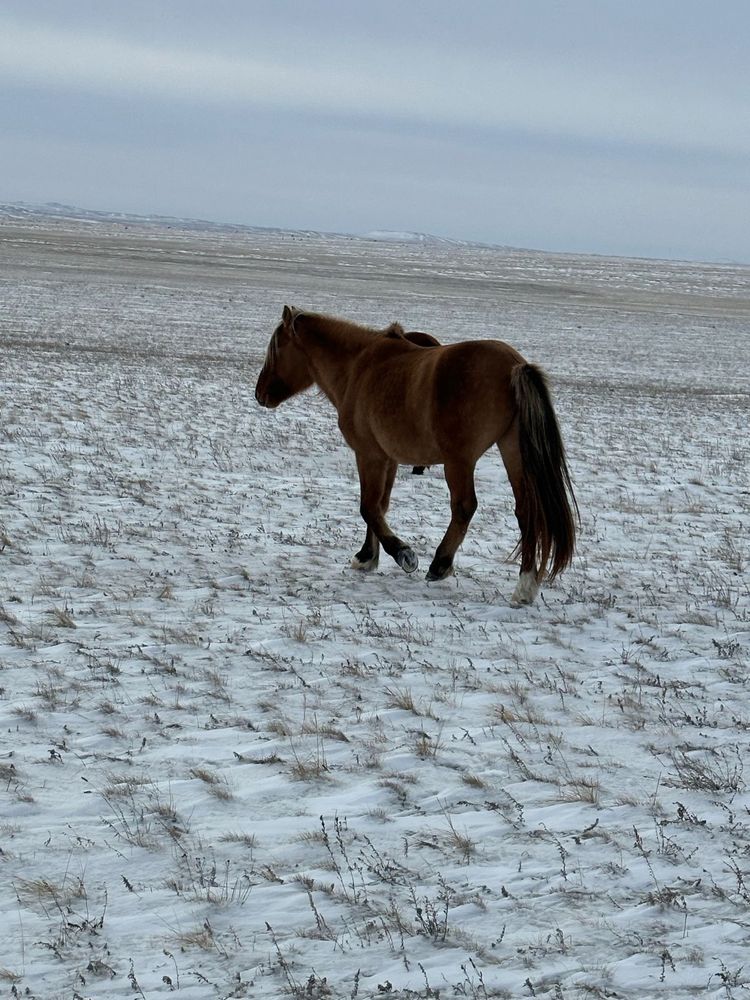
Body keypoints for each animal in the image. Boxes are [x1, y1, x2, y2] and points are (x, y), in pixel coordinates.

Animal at [256, 304, 580, 600]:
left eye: (276, 347)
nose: (260, 393)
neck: (359, 366)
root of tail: (514, 366)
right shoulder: (388, 459)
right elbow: (380, 506)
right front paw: (367, 556)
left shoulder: (369, 455)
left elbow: (368, 507)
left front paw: (403, 554)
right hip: (512, 450)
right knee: (526, 511)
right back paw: (525, 586)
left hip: (459, 461)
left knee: (464, 507)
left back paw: (441, 564)